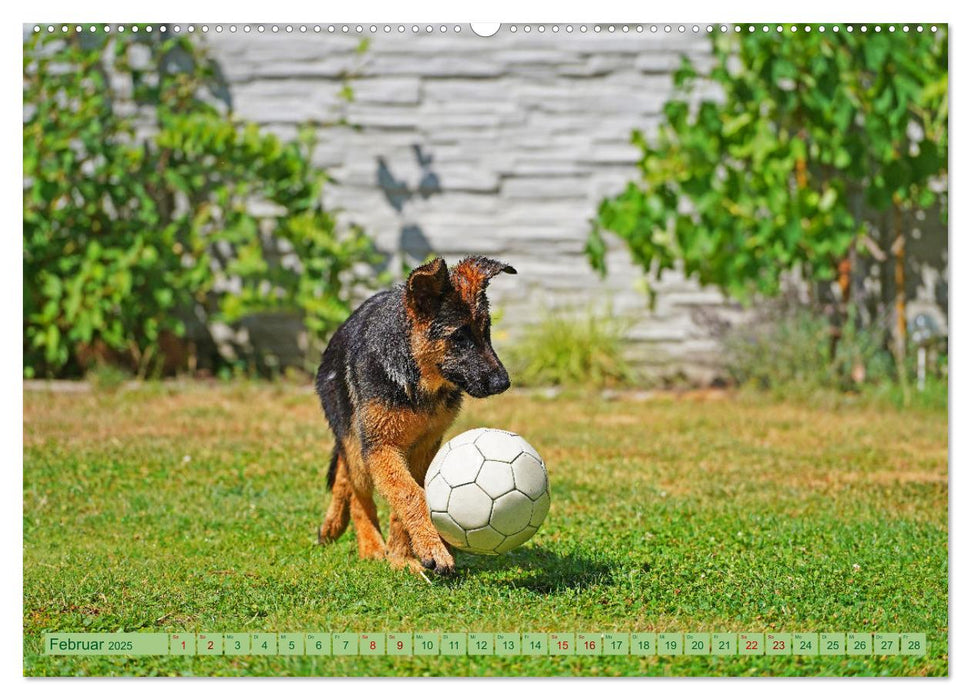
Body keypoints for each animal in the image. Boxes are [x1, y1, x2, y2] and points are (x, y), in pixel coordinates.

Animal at [318, 258, 516, 576]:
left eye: (486, 331)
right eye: (459, 337)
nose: (503, 383)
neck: (416, 380)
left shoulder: (424, 447)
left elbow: (408, 496)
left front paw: (404, 555)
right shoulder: (381, 447)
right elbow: (409, 494)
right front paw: (429, 548)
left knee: (344, 475)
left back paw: (337, 527)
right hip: (357, 444)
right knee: (356, 487)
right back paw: (369, 545)